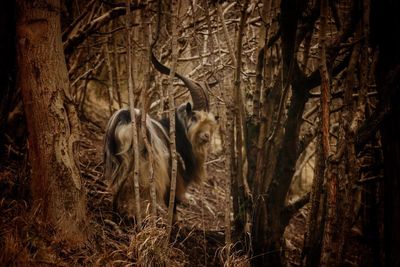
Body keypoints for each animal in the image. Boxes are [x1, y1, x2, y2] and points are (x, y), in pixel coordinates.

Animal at [102, 51, 216, 222]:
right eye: (195, 117)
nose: (206, 136)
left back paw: (117, 214)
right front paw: (174, 223)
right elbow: (172, 203)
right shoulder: (173, 177)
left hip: (119, 162)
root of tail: (126, 119)